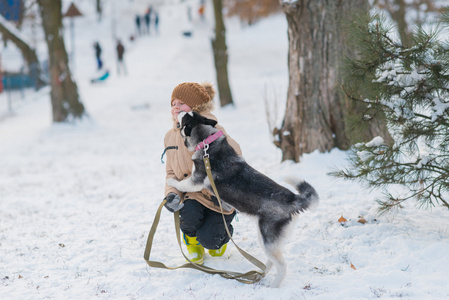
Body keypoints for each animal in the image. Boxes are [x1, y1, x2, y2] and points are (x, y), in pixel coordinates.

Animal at [165, 111, 318, 288]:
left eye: (185, 119)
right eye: (192, 114)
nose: (179, 112)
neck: (207, 142)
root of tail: (293, 198)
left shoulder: (195, 181)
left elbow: (181, 183)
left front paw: (172, 182)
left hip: (267, 237)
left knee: (282, 265)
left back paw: (273, 285)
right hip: (265, 237)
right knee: (273, 260)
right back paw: (261, 273)